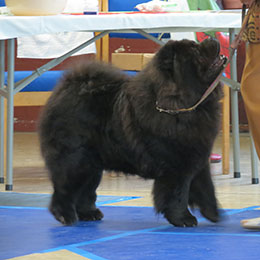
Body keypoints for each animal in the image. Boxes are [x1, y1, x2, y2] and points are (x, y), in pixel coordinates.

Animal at [39, 37, 225, 226]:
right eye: (194, 50)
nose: (211, 38)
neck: (182, 105)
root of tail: (65, 89)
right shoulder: (177, 166)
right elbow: (178, 194)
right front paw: (184, 219)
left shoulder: (197, 158)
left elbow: (206, 187)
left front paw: (214, 213)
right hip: (76, 160)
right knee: (65, 189)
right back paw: (65, 216)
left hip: (93, 164)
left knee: (86, 191)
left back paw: (90, 213)